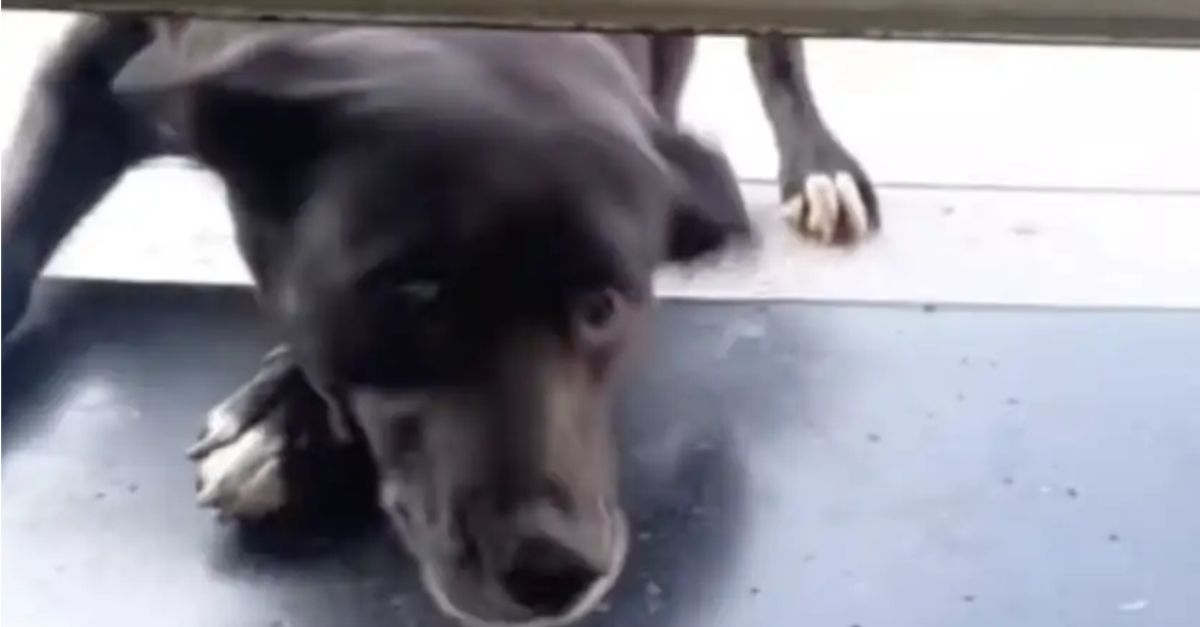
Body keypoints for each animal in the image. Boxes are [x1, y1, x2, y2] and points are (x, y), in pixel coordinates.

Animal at [4, 15, 878, 624]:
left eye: (605, 307)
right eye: (415, 292)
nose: (556, 571)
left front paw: (282, 416)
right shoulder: (99, 63)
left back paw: (819, 161)